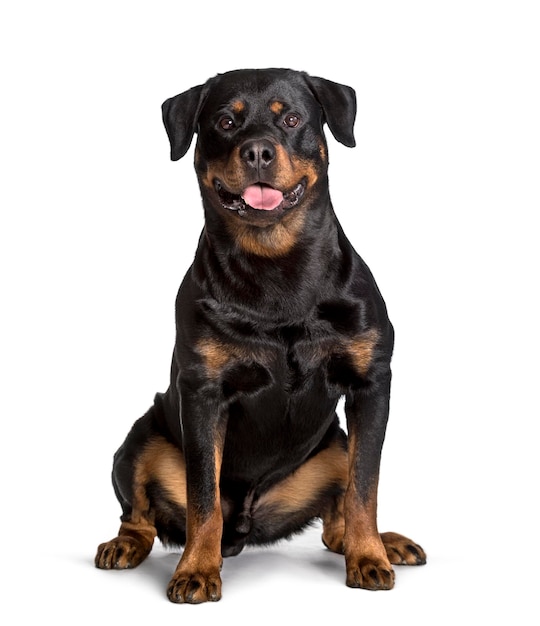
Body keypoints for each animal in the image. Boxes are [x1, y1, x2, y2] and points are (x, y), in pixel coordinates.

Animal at [96, 67, 426, 600]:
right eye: (226, 122)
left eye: (291, 119)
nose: (257, 151)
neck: (277, 268)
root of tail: (246, 529)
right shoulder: (204, 392)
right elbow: (203, 497)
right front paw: (195, 570)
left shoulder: (371, 383)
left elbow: (365, 486)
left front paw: (369, 557)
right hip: (140, 437)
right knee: (141, 512)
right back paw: (126, 545)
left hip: (333, 443)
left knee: (338, 514)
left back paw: (383, 542)